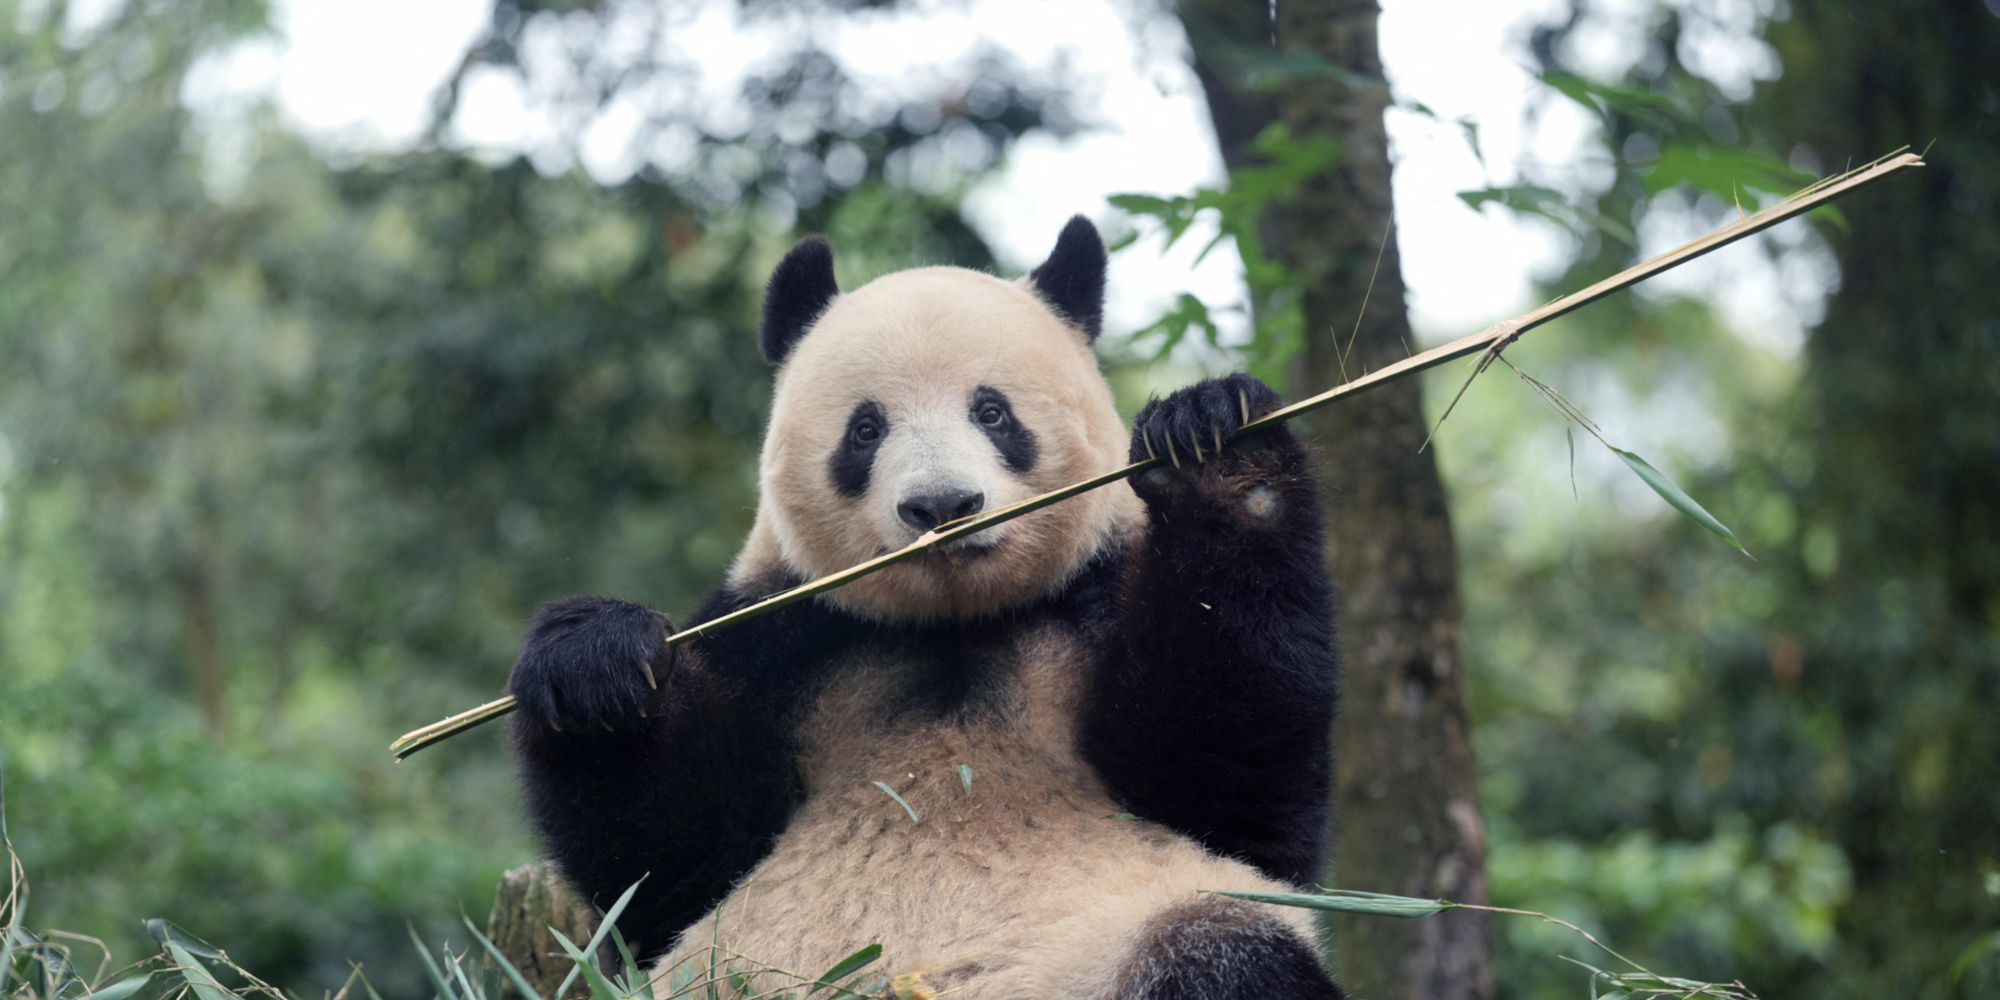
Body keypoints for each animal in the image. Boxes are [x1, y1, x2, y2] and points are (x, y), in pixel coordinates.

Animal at [507, 216, 1344, 1000]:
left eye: (992, 413)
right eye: (866, 428)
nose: (942, 505)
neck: (956, 624)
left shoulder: (1094, 601)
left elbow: (1227, 775)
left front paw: (1219, 443)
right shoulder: (786, 636)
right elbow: (667, 861)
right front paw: (596, 664)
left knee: (1220, 951)